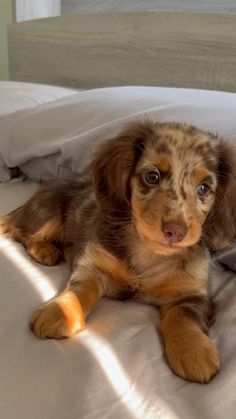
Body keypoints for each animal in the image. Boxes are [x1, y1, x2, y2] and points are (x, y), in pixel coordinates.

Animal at [0, 121, 235, 384]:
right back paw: (43, 250)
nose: (175, 231)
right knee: (20, 232)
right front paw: (59, 312)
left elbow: (181, 315)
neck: (147, 254)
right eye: (152, 176)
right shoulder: (94, 266)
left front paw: (193, 351)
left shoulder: (192, 293)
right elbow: (79, 290)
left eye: (204, 188)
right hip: (48, 213)